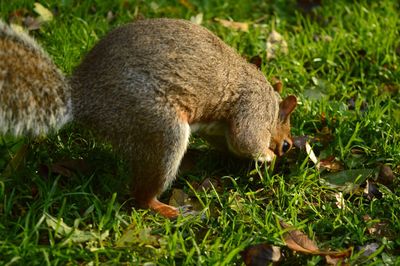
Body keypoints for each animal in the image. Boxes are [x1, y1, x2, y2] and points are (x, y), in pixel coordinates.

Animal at [0, 18, 296, 218]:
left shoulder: (220, 130)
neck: (271, 104)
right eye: (287, 145)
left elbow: (232, 142)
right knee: (141, 196)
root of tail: (84, 98)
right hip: (159, 129)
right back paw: (169, 210)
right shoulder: (253, 106)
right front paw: (267, 156)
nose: (284, 152)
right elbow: (246, 138)